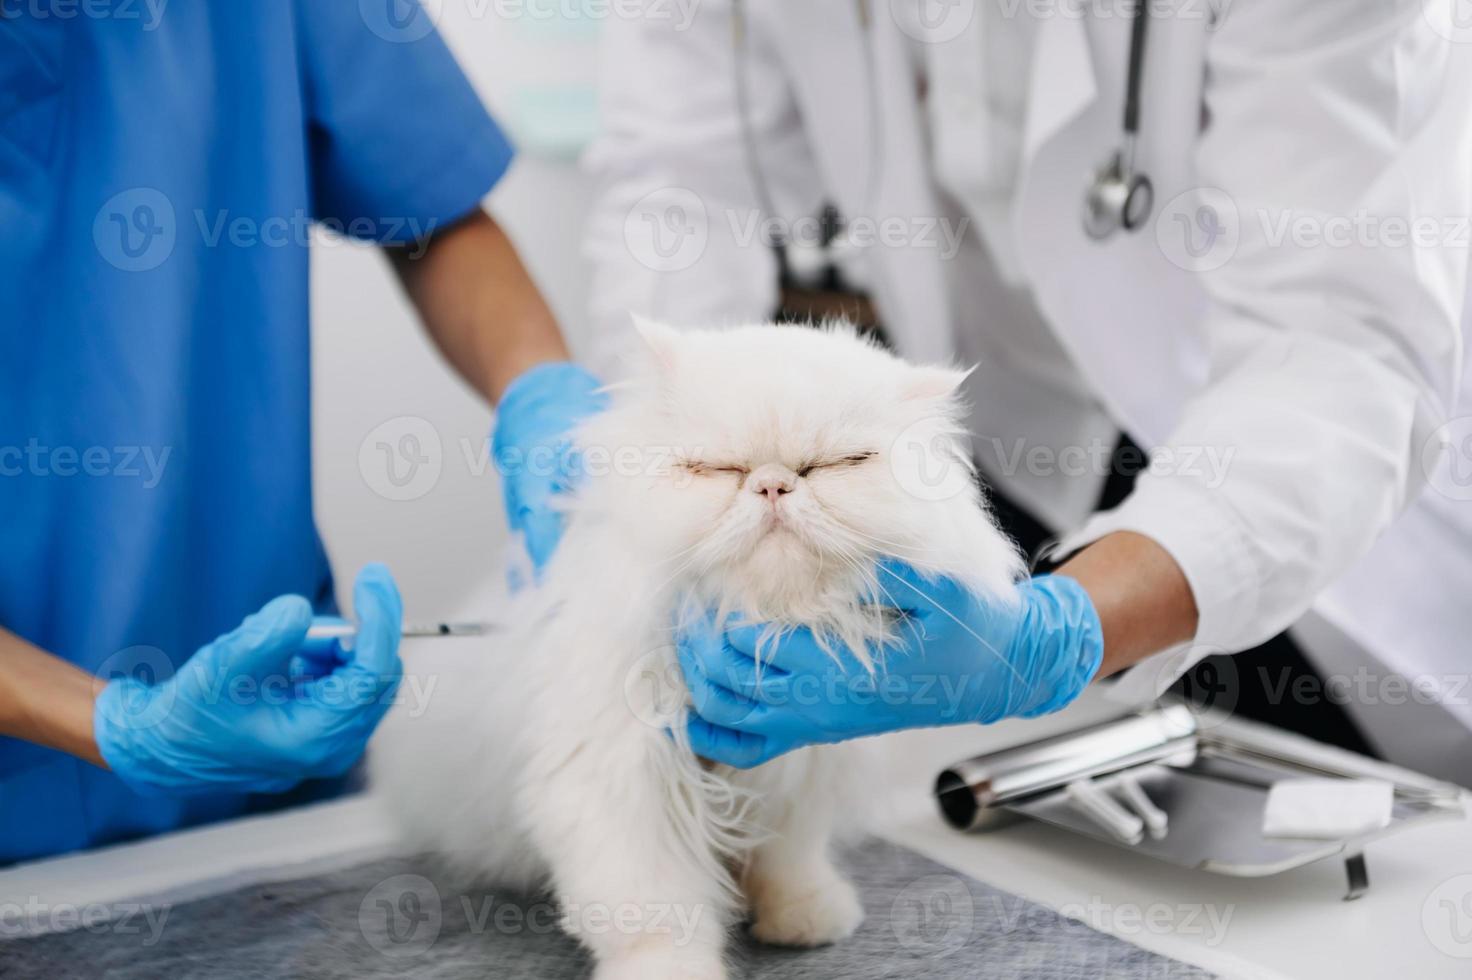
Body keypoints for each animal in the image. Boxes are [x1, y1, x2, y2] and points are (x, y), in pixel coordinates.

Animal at [368, 320, 1024, 977]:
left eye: (830, 466)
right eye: (718, 469)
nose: (773, 484)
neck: (766, 620)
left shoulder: (798, 769)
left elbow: (789, 863)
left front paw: (805, 919)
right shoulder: (621, 776)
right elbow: (651, 908)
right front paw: (669, 968)